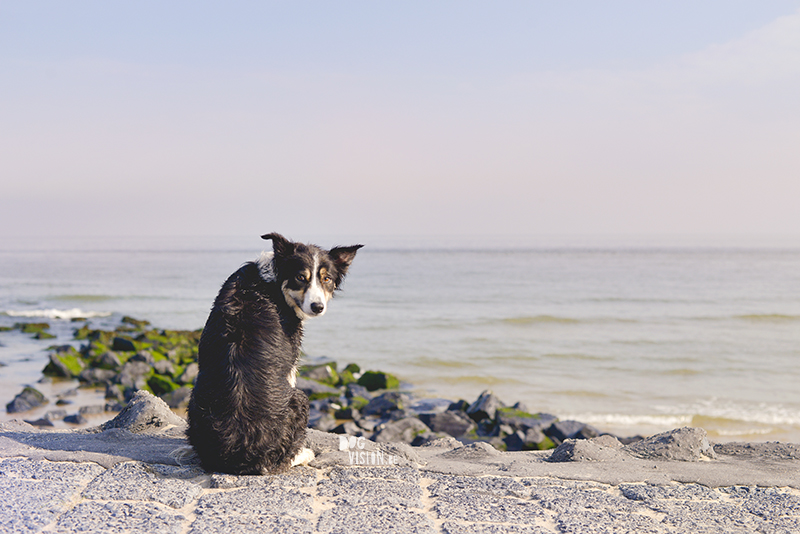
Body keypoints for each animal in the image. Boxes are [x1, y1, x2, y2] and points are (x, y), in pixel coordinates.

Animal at [186, 232, 360, 476]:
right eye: (300, 277)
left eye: (326, 279)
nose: (317, 307)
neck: (273, 281)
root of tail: (241, 455)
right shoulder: (291, 360)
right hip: (300, 398)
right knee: (280, 461)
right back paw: (303, 454)